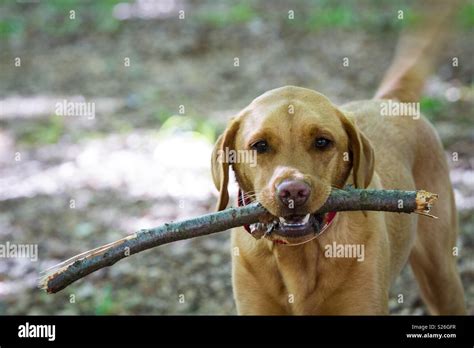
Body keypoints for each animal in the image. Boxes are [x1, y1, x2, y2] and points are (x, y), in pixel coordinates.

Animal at [209, 1, 464, 316]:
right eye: (260, 145)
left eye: (322, 141)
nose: (293, 191)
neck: (299, 253)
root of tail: (390, 101)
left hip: (440, 275)